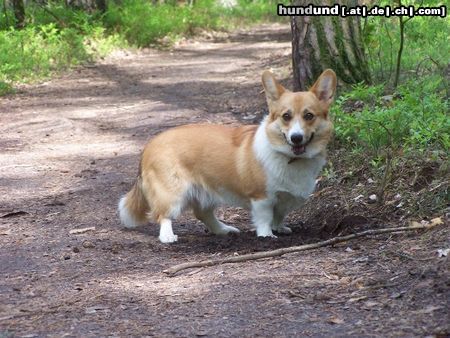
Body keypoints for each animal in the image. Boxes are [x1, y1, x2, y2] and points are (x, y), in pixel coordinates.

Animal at [118, 69, 336, 243]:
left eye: (309, 116)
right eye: (286, 116)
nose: (296, 138)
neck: (289, 157)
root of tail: (150, 145)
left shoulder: (286, 198)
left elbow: (279, 215)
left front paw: (279, 228)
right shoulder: (261, 197)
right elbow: (265, 217)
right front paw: (266, 235)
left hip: (208, 190)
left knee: (203, 214)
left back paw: (224, 230)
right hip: (172, 192)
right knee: (163, 215)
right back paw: (168, 236)